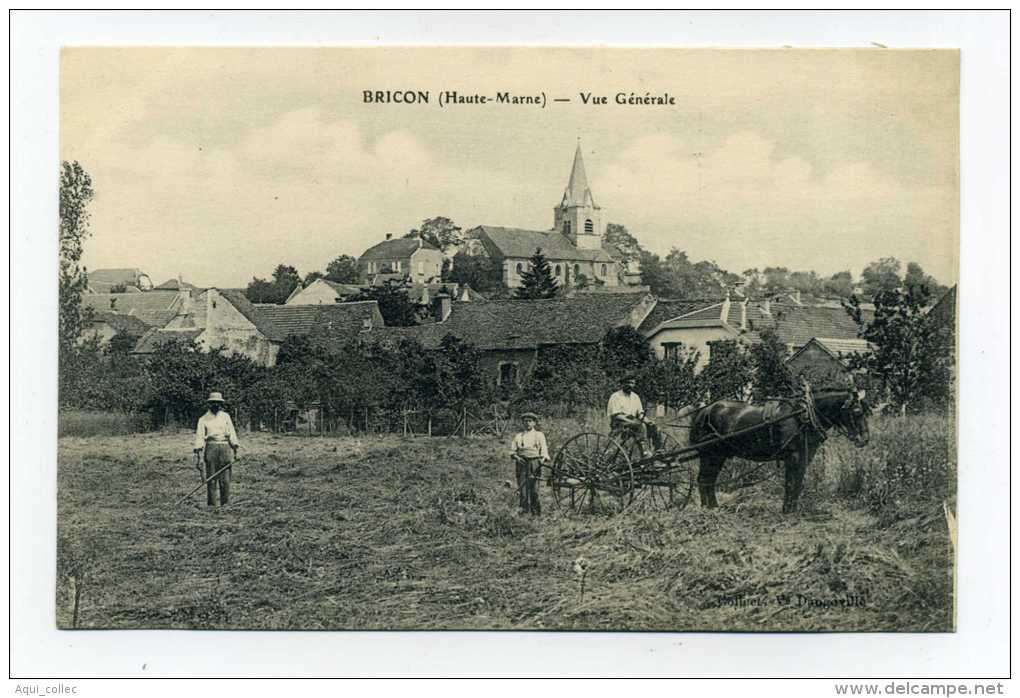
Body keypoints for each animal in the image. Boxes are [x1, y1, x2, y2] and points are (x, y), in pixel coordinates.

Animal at [685, 387, 869, 512]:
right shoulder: (792, 456)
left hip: (718, 455)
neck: (803, 415)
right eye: (856, 412)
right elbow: (790, 482)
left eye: (866, 412)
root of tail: (704, 411)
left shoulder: (805, 456)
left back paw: (712, 506)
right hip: (711, 454)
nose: (865, 439)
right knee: (704, 479)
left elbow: (798, 482)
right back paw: (708, 507)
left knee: (708, 480)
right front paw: (787, 510)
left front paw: (793, 509)